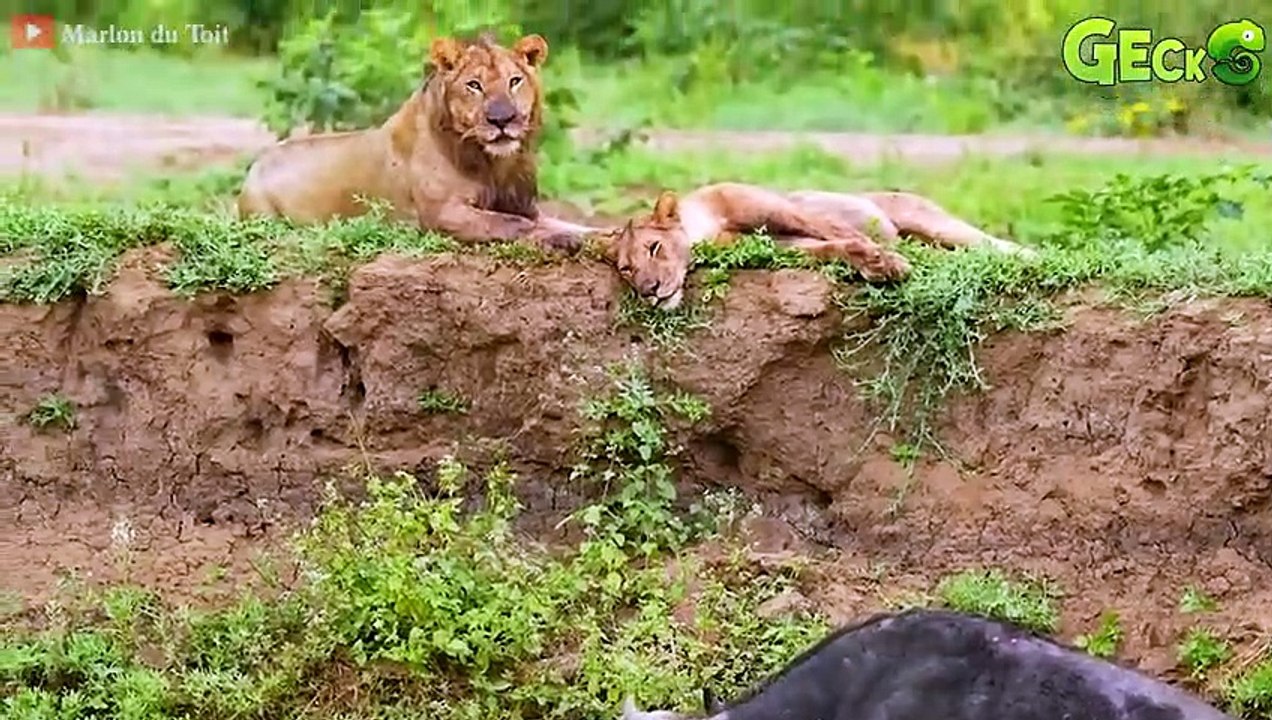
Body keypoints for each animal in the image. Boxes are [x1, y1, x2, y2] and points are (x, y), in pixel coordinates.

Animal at [236, 32, 595, 251]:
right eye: (474, 85)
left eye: (515, 81)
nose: (502, 119)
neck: (495, 164)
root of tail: (258, 163)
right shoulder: (441, 214)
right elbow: (511, 224)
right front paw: (561, 239)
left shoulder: (528, 207)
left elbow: (579, 226)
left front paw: (590, 235)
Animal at [602, 182, 1036, 309]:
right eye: (626, 269)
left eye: (654, 248)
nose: (649, 291)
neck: (701, 227)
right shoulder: (772, 242)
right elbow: (831, 247)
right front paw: (877, 263)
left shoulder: (782, 209)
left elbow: (833, 228)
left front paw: (887, 261)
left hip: (937, 223)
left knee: (993, 244)